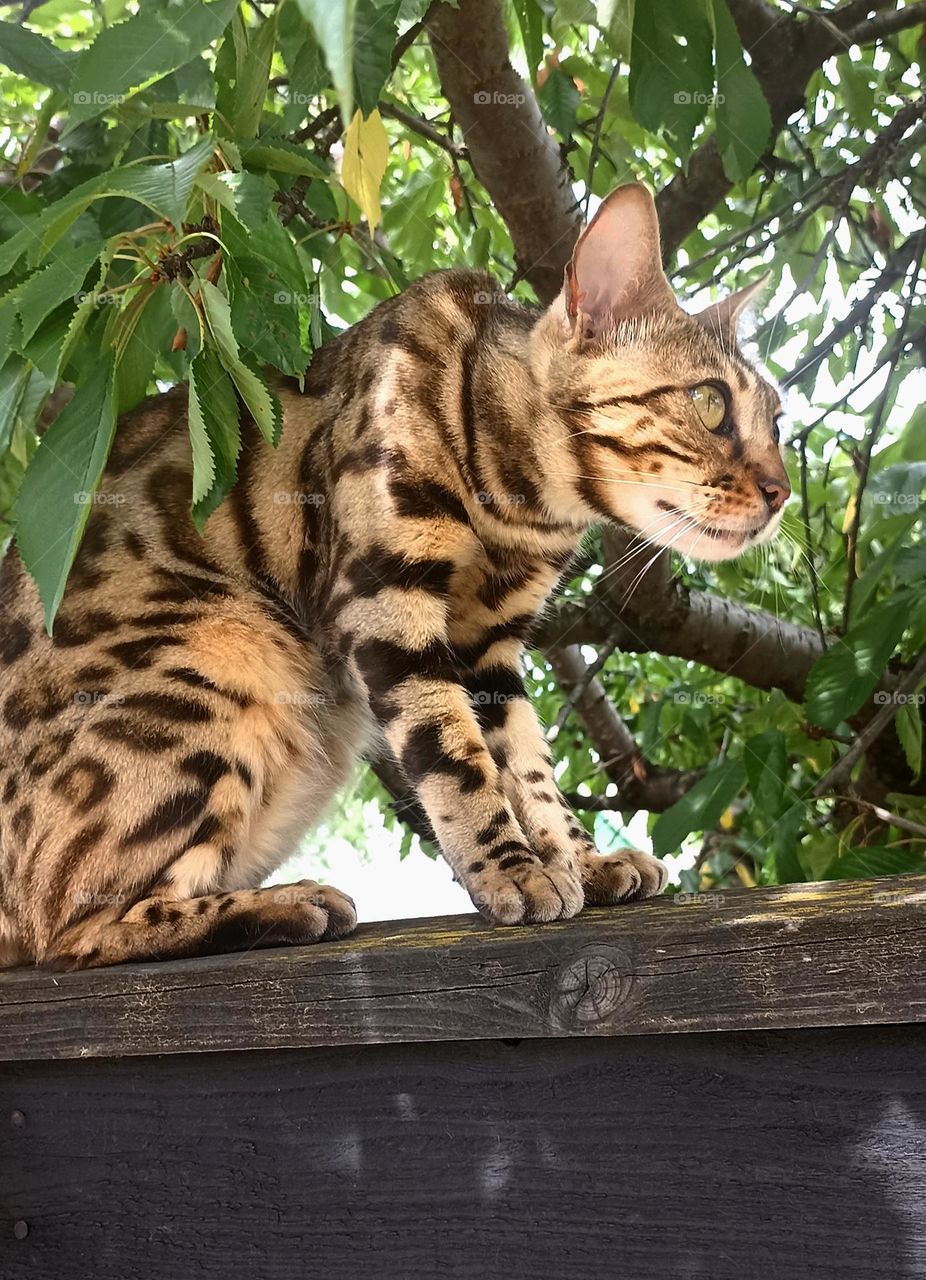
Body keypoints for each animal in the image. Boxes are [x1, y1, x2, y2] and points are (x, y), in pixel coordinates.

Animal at [0, 185, 788, 967]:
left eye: (778, 421)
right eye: (712, 403)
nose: (782, 492)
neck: (523, 513)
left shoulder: (489, 644)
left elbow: (527, 765)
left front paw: (580, 861)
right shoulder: (385, 602)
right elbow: (455, 758)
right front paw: (515, 871)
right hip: (226, 652)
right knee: (70, 930)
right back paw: (285, 904)